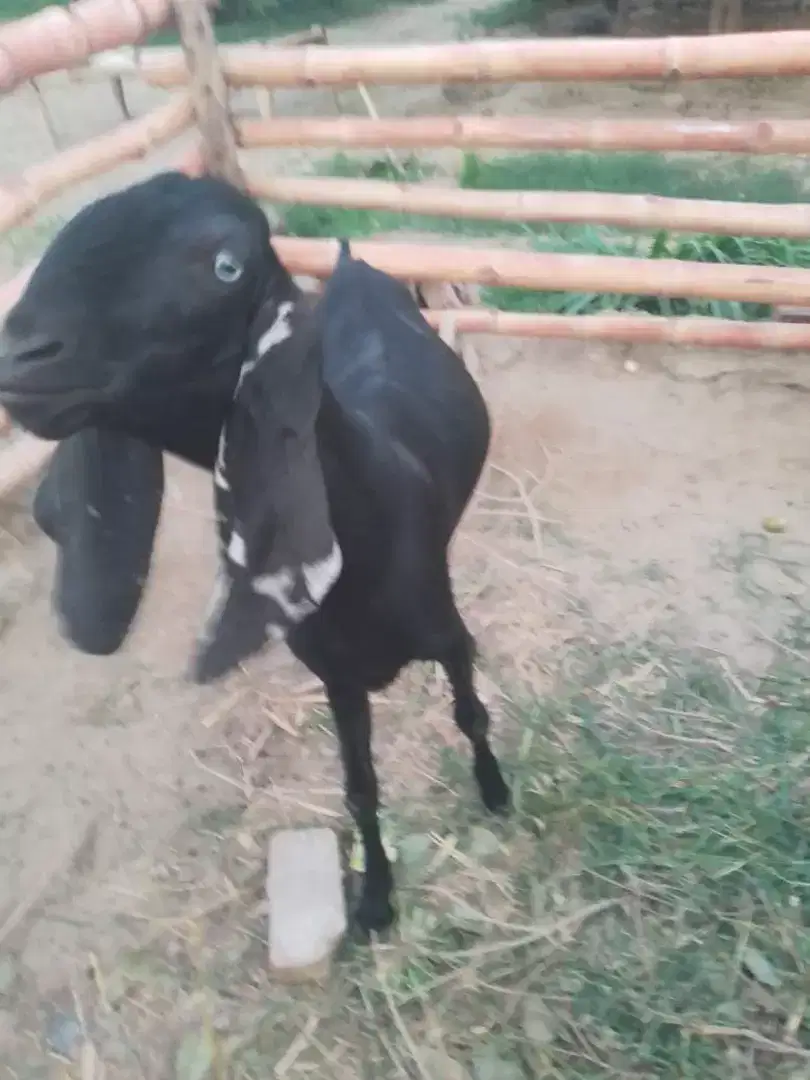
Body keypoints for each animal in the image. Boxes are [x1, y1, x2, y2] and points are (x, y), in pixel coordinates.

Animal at [0, 171, 510, 933]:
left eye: (226, 266)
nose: (20, 358)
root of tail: (352, 265)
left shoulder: (448, 634)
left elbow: (469, 713)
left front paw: (496, 792)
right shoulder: (338, 679)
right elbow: (359, 787)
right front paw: (374, 900)